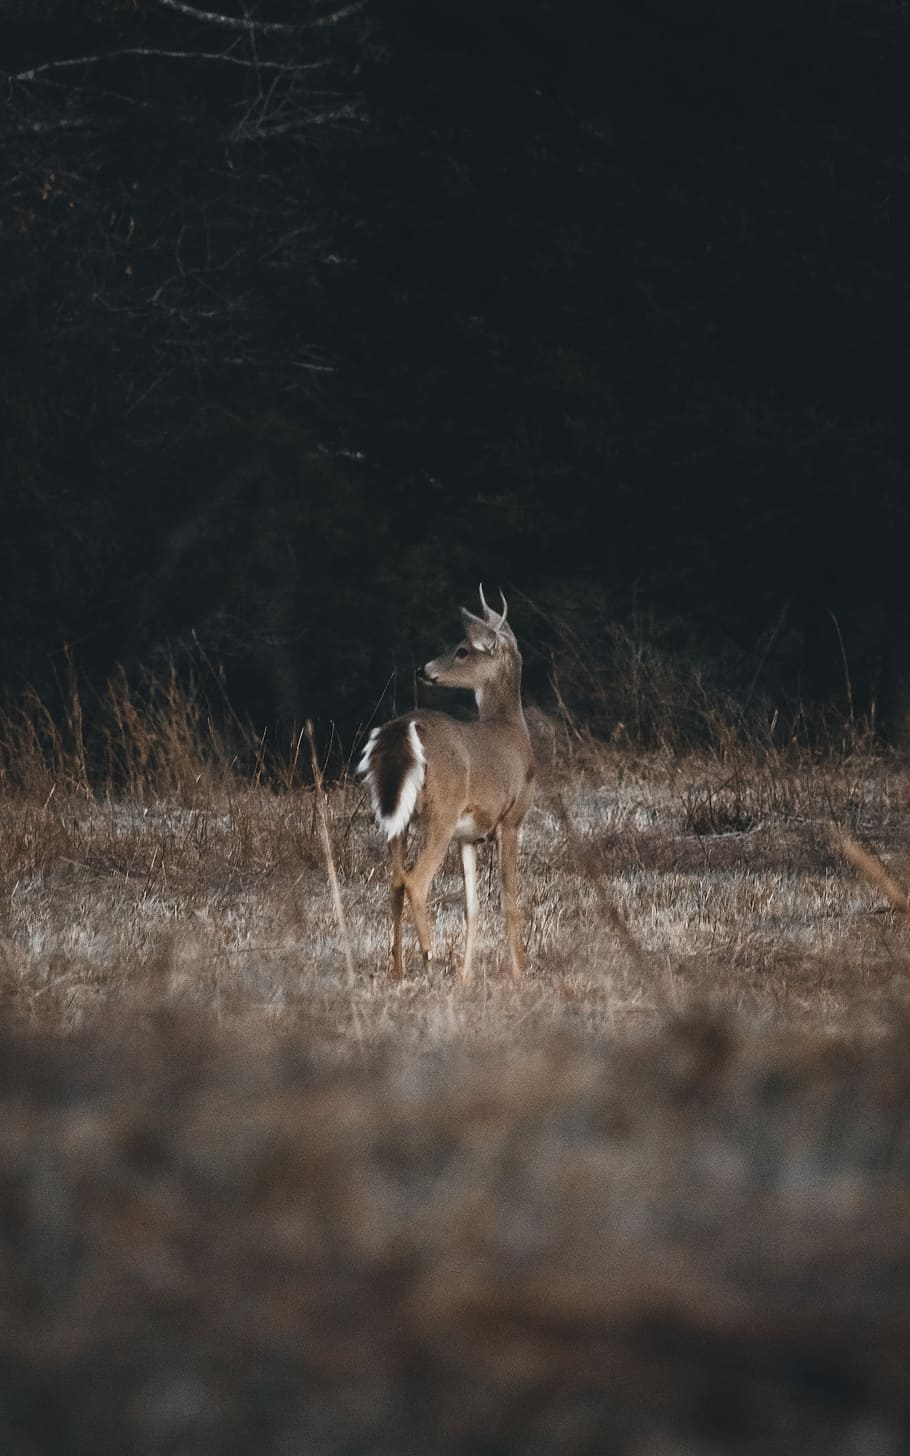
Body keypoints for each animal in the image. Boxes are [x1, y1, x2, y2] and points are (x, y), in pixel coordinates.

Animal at [358, 587, 535, 984]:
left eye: (462, 650)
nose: (423, 669)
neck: (512, 729)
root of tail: (403, 728)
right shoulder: (512, 818)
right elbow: (509, 898)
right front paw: (520, 970)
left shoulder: (468, 836)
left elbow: (473, 907)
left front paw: (466, 977)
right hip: (441, 810)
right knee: (415, 881)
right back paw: (429, 956)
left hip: (397, 817)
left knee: (395, 881)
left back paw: (397, 968)